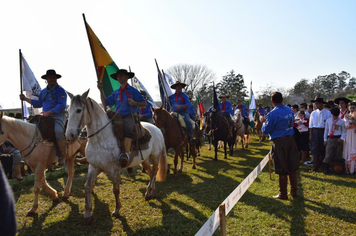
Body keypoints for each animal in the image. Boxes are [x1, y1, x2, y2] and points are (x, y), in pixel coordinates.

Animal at [65, 89, 168, 224]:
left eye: (78, 110)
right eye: (68, 111)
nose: (69, 135)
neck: (101, 139)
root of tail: (158, 129)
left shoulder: (115, 169)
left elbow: (116, 189)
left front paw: (117, 210)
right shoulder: (93, 167)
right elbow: (87, 187)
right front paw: (87, 214)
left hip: (155, 156)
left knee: (155, 171)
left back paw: (147, 193)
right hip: (144, 159)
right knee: (151, 172)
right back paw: (151, 192)